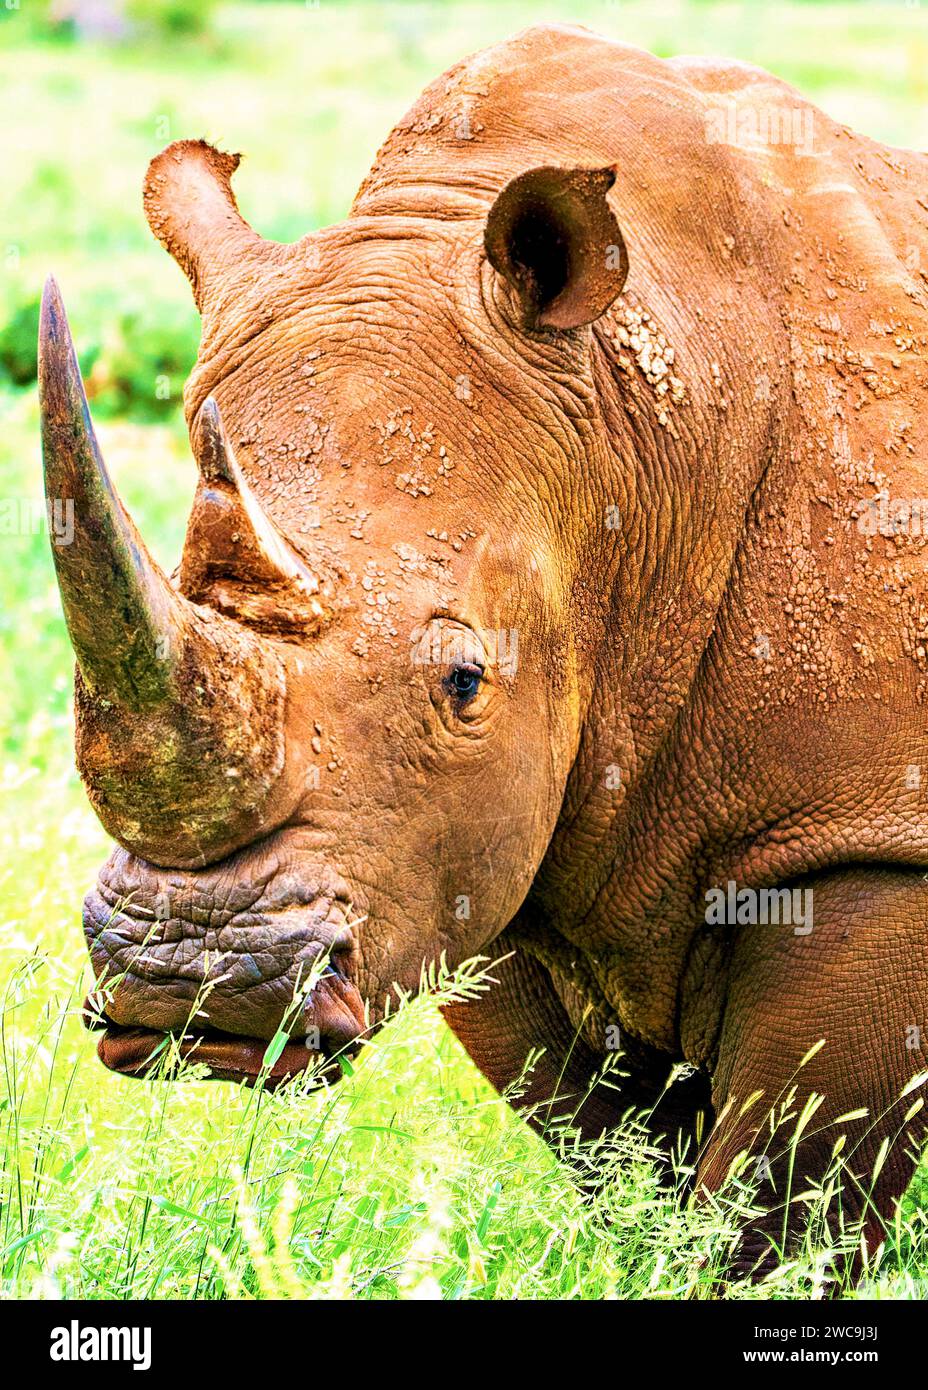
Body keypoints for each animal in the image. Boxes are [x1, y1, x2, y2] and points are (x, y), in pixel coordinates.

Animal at [40, 24, 928, 1275]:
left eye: (464, 682)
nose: (192, 982)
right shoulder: (462, 841)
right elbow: (613, 1157)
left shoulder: (862, 833)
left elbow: (777, 1197)